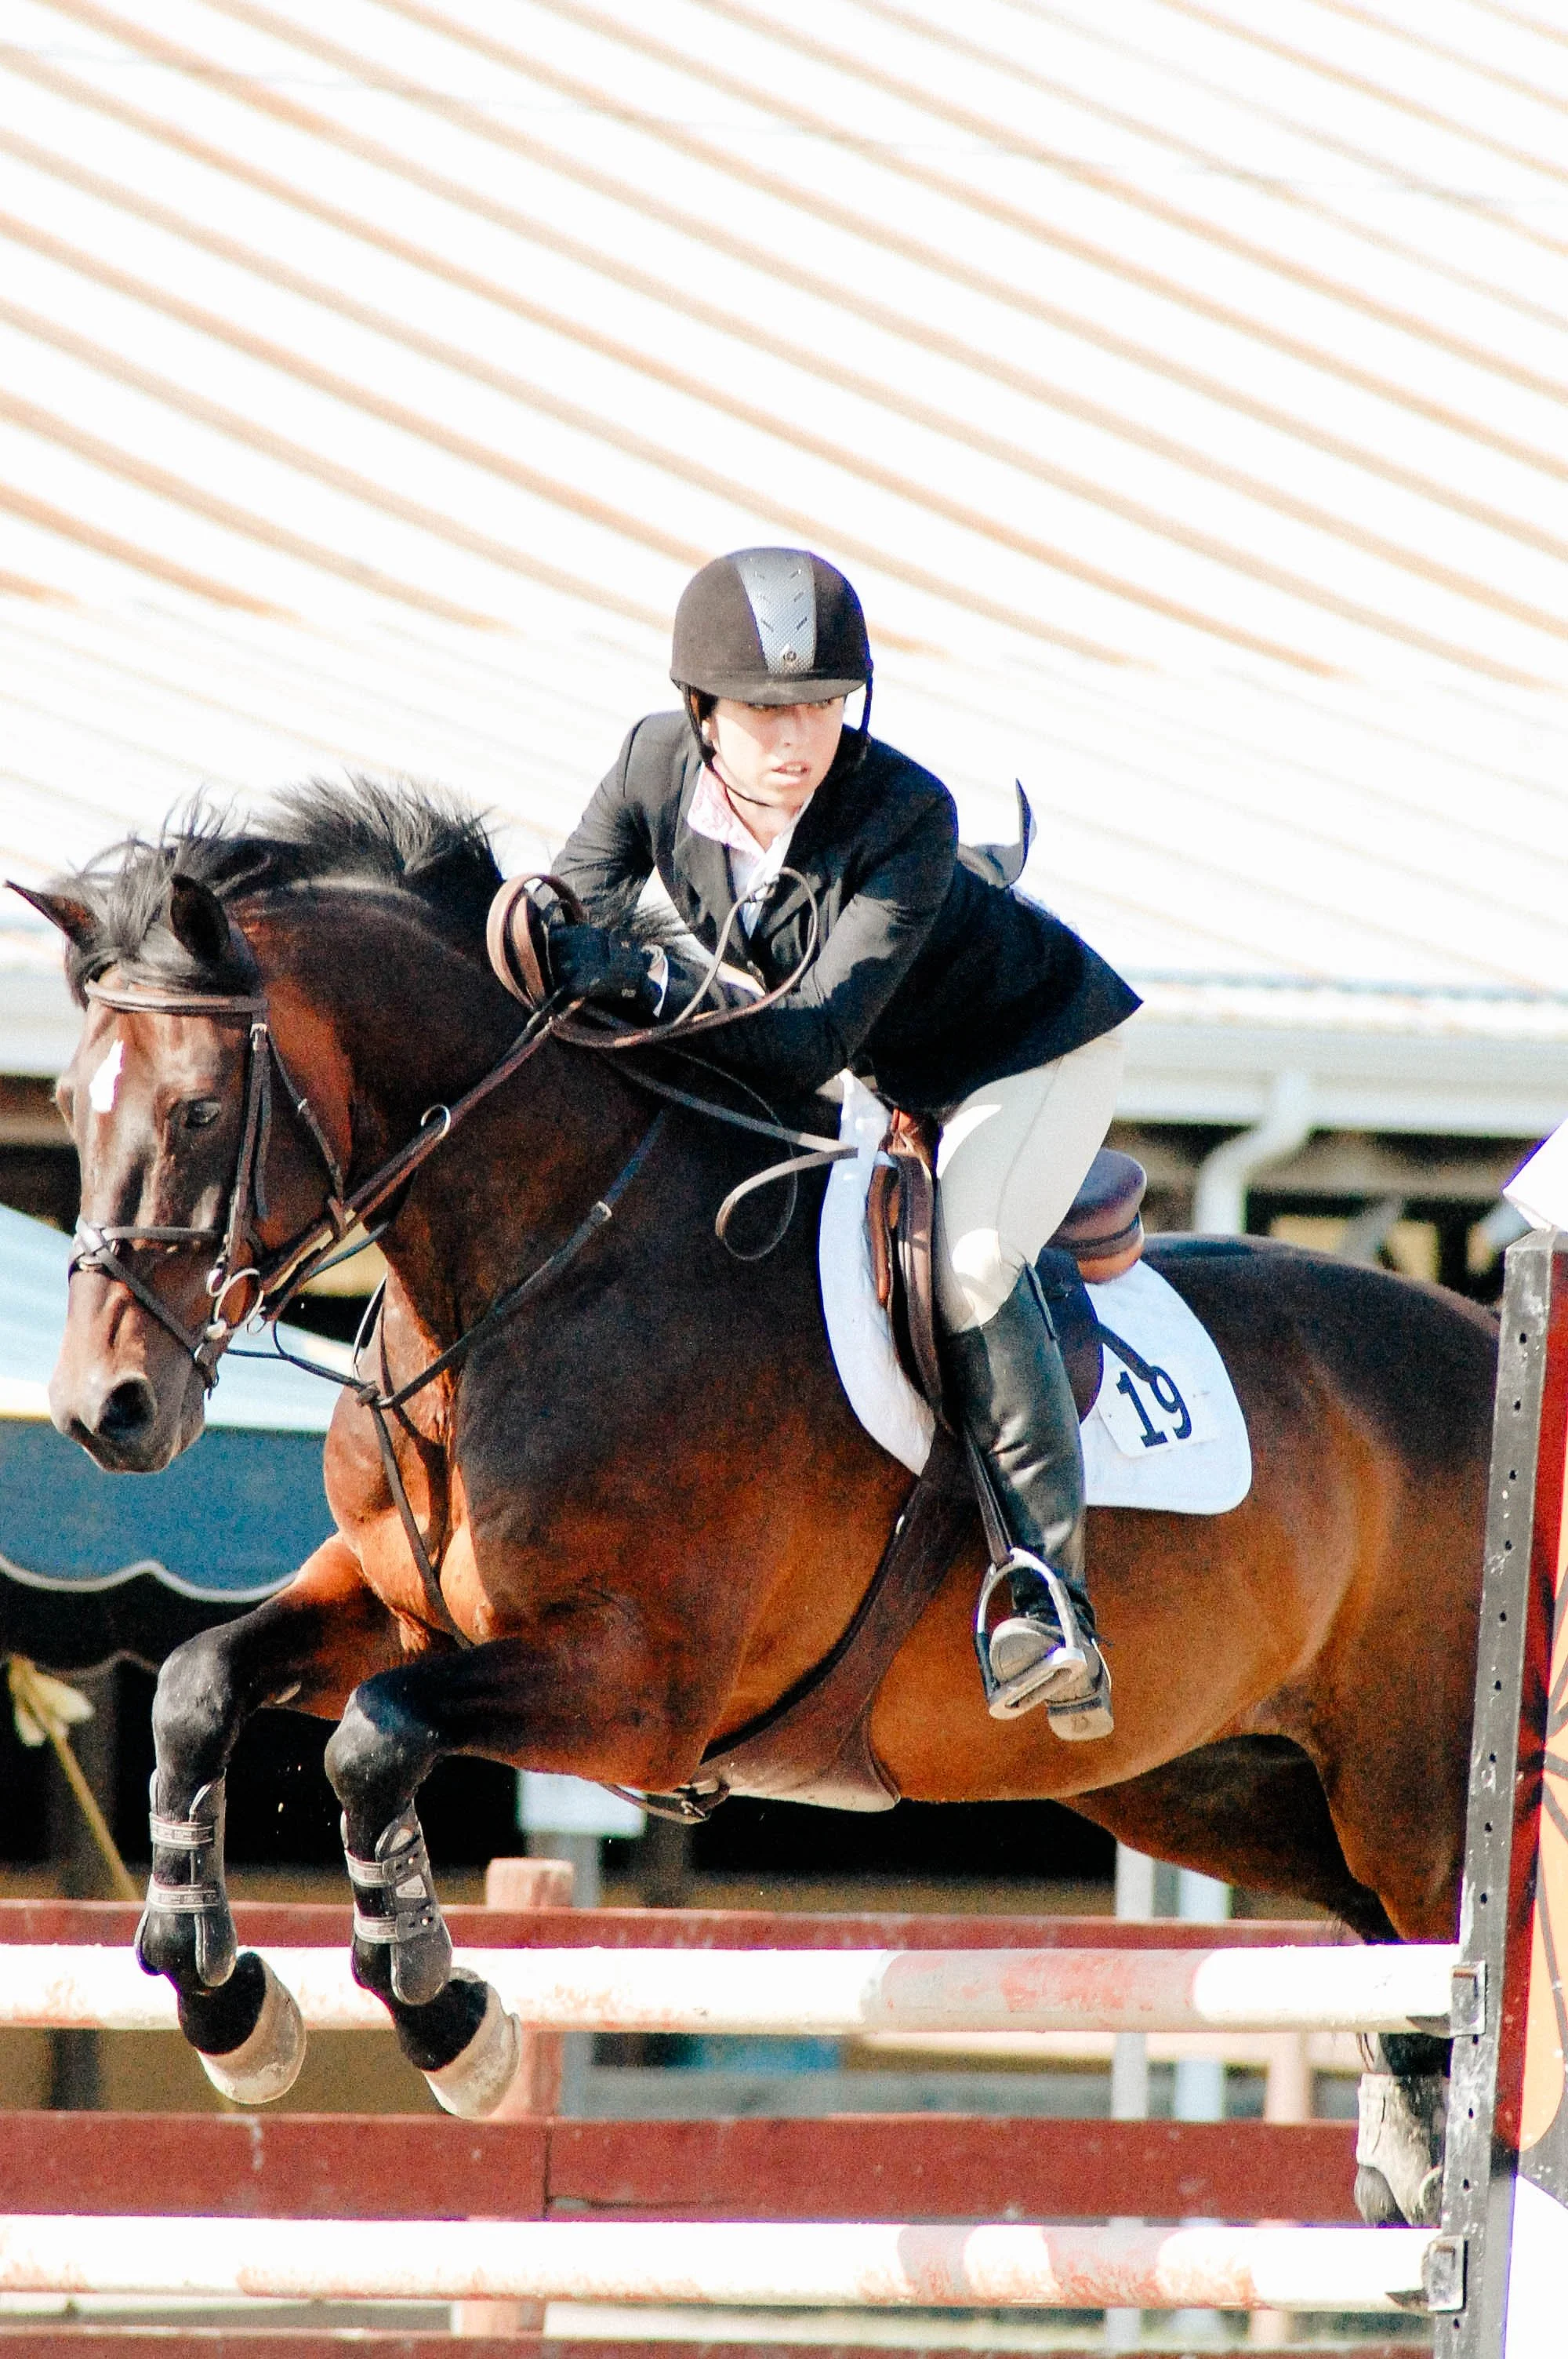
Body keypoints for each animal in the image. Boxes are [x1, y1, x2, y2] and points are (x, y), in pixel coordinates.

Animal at [24, 781, 1497, 2220]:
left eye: (198, 1111)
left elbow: (375, 1741)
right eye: (72, 1103)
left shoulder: (642, 1689)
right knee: (1386, 1971)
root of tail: (1490, 1334)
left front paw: (450, 2018)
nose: (105, 1411)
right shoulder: (402, 1608)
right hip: (1226, 1785)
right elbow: (201, 1685)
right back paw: (1406, 2174)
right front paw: (221, 1997)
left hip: (1416, 1802)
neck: (543, 1266)